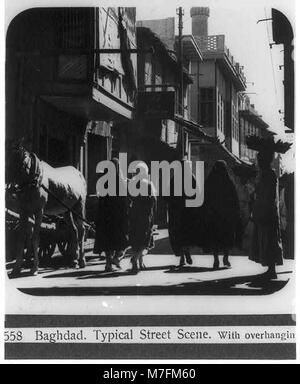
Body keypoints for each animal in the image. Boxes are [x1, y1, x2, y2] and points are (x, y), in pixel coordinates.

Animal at [7, 144, 86, 276]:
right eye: (8, 160)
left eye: (23, 161)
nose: (11, 187)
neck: (33, 178)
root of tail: (79, 173)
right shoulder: (24, 211)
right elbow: (22, 238)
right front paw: (17, 268)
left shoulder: (39, 211)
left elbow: (35, 237)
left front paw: (34, 268)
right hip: (67, 210)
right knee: (73, 230)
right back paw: (73, 260)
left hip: (79, 207)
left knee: (82, 230)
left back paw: (82, 261)